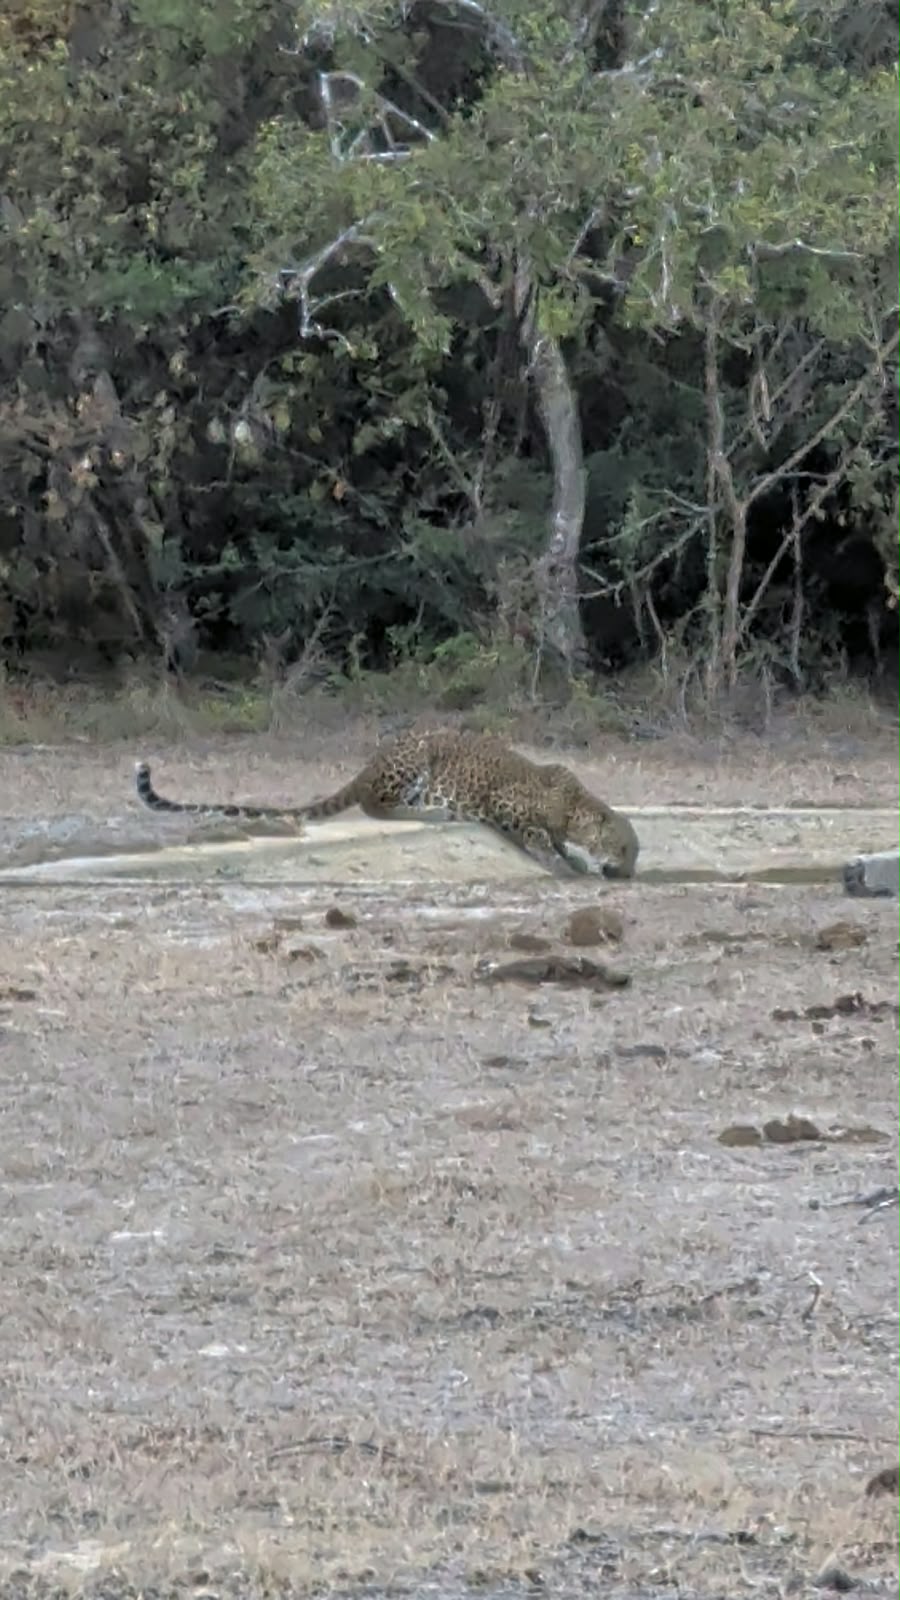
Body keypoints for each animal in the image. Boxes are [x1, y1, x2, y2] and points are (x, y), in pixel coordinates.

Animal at [134, 729, 639, 879]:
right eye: (625, 849)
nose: (631, 873)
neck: (573, 805)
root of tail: (370, 762)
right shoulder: (504, 804)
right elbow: (538, 837)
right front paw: (562, 861)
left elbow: (560, 842)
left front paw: (574, 857)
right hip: (415, 760)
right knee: (374, 804)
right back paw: (430, 810)